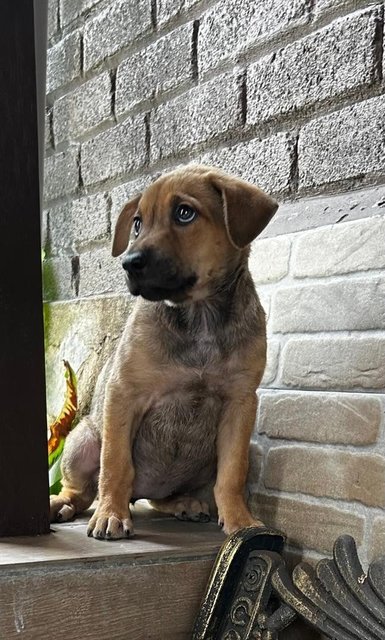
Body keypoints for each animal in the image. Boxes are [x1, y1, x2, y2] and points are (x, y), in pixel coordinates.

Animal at [49, 162, 278, 536]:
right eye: (137, 223)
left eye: (185, 213)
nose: (129, 263)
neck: (199, 317)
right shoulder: (124, 394)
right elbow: (115, 463)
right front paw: (111, 514)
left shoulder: (240, 403)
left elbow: (232, 473)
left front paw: (241, 521)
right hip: (82, 438)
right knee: (83, 491)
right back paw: (63, 504)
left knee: (161, 498)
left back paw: (184, 504)